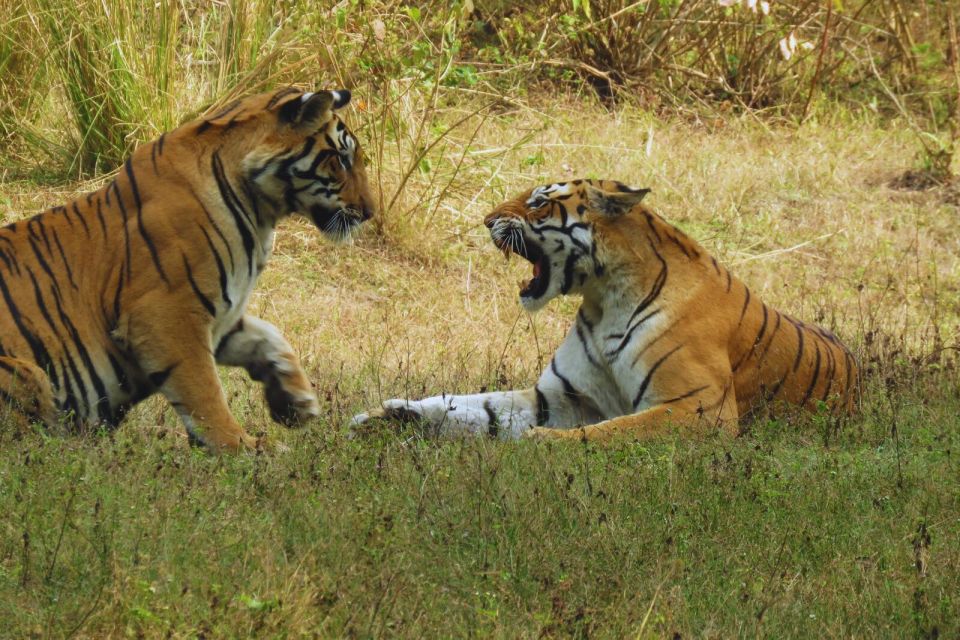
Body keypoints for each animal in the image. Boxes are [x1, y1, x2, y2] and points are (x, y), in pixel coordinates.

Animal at [0, 87, 376, 452]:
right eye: (341, 159)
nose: (370, 212)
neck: (261, 211)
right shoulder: (166, 313)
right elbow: (204, 389)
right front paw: (242, 446)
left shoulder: (222, 311)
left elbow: (269, 335)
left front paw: (297, 401)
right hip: (28, 373)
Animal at [352, 179, 864, 440]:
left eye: (539, 202)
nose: (485, 220)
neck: (604, 299)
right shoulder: (559, 396)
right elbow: (473, 406)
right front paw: (391, 415)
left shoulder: (699, 408)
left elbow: (607, 433)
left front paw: (536, 445)